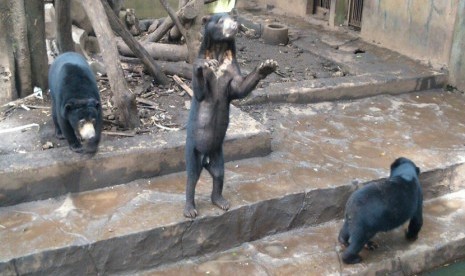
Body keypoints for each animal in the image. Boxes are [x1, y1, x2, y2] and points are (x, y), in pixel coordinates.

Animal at [184, 13, 280, 218]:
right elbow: (200, 92)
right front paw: (206, 64)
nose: (235, 23)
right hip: (193, 148)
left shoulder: (232, 71)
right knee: (192, 176)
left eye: (232, 16)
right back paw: (190, 210)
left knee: (219, 174)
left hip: (218, 153)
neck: (220, 54)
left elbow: (239, 88)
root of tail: (206, 159)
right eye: (220, 20)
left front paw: (267, 65)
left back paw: (221, 202)